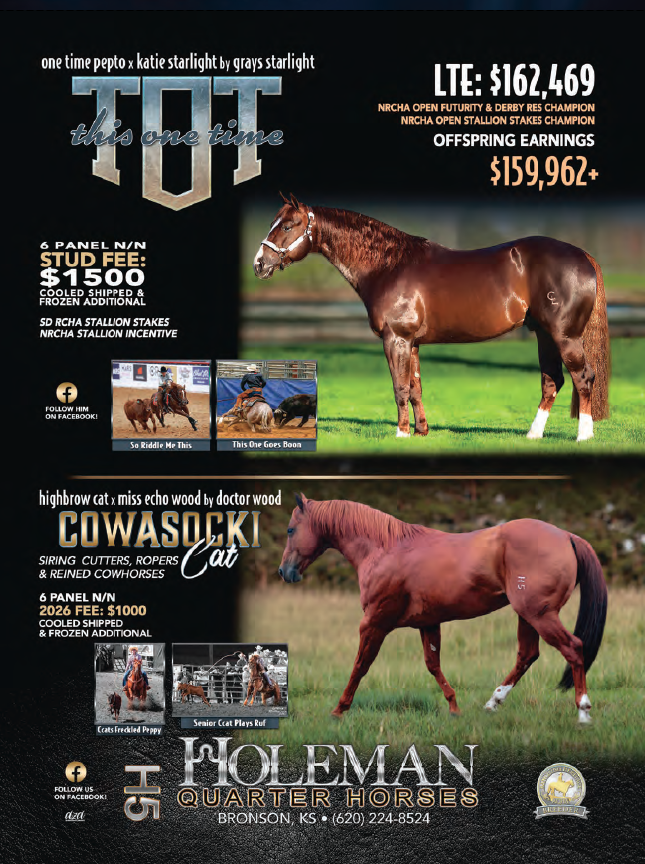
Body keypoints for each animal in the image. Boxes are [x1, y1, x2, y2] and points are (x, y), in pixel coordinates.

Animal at [254, 194, 610, 443]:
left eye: (288, 225)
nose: (259, 264)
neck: (389, 265)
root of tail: (584, 255)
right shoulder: (412, 343)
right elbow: (415, 389)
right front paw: (421, 432)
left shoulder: (396, 339)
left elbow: (399, 387)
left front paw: (400, 434)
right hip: (544, 335)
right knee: (553, 382)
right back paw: (533, 435)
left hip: (564, 336)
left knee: (583, 378)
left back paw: (583, 436)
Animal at [279, 494, 607, 725]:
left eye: (291, 529)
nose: (285, 572)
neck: (384, 548)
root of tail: (566, 535)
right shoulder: (428, 623)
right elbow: (433, 665)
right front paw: (454, 708)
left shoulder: (374, 623)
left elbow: (360, 666)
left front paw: (338, 710)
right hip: (528, 616)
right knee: (527, 655)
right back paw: (492, 703)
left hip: (540, 615)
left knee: (573, 648)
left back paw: (583, 712)